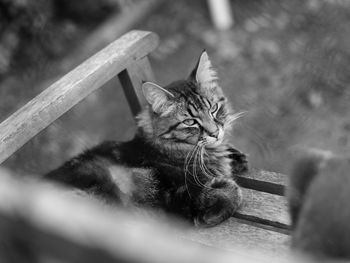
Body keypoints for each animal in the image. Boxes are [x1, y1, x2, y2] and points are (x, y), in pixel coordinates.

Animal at [44, 51, 249, 227]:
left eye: (213, 108)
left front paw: (237, 157)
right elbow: (231, 193)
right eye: (190, 121)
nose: (215, 133)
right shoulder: (173, 192)